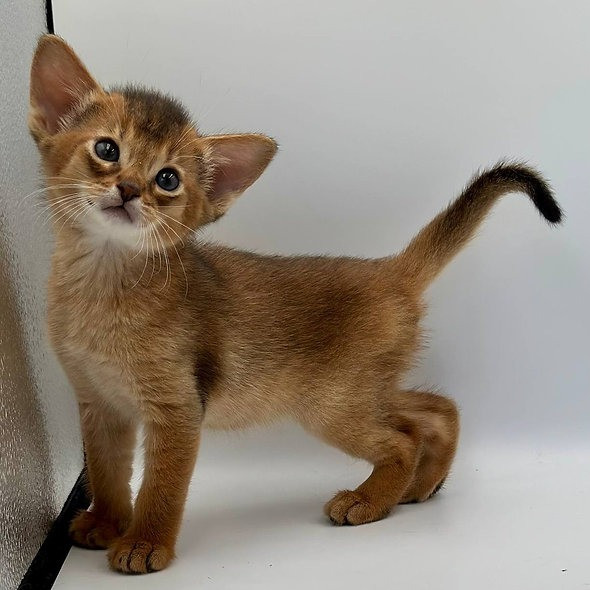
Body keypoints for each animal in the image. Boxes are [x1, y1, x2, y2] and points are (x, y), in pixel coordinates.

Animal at [27, 34, 564, 576]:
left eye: (168, 179)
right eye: (107, 149)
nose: (129, 189)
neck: (100, 289)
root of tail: (390, 270)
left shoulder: (177, 408)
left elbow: (162, 486)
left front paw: (144, 543)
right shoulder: (100, 403)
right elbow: (107, 472)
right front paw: (105, 523)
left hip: (333, 403)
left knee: (403, 438)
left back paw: (368, 501)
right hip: (362, 391)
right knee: (436, 408)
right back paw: (421, 485)